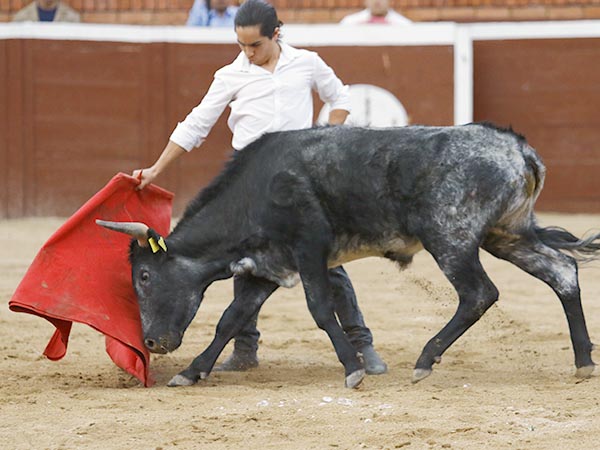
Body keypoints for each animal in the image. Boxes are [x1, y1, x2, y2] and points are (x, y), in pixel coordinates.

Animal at [97, 123, 600, 386]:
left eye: (144, 277)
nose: (151, 344)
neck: (256, 192)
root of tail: (516, 147)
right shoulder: (265, 267)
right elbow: (231, 319)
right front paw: (192, 371)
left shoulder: (309, 249)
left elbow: (320, 309)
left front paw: (353, 369)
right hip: (506, 235)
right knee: (562, 272)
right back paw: (583, 362)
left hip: (451, 238)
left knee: (479, 294)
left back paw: (425, 359)